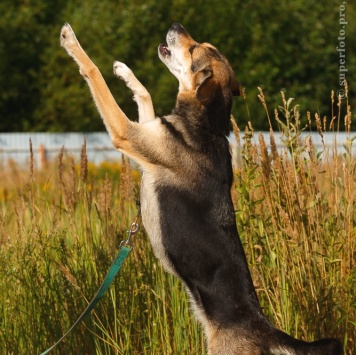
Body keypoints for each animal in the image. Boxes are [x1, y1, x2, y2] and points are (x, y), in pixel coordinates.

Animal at [59, 23, 344, 355]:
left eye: (194, 48)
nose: (176, 25)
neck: (206, 122)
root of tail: (265, 330)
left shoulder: (126, 134)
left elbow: (93, 72)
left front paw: (71, 41)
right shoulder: (146, 135)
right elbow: (145, 94)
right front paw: (123, 71)